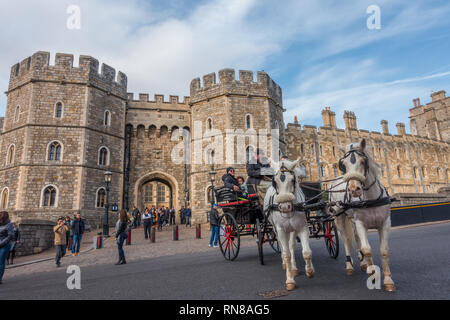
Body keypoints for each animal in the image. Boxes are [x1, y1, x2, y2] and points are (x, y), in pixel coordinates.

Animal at [262, 159, 314, 292]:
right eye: (274, 182)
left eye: (292, 180)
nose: (285, 207)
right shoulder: (281, 230)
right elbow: (286, 254)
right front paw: (290, 280)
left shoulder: (302, 227)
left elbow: (306, 252)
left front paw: (310, 271)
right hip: (275, 228)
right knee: (282, 246)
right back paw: (286, 265)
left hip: (292, 230)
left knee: (291, 246)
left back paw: (294, 267)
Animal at [326, 139, 394, 292]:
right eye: (343, 164)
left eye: (363, 161)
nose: (354, 190)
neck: (371, 198)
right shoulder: (361, 223)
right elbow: (367, 249)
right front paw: (373, 273)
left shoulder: (385, 223)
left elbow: (384, 251)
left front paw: (387, 280)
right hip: (339, 218)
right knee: (346, 240)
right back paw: (349, 265)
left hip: (352, 219)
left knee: (356, 237)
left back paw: (363, 264)